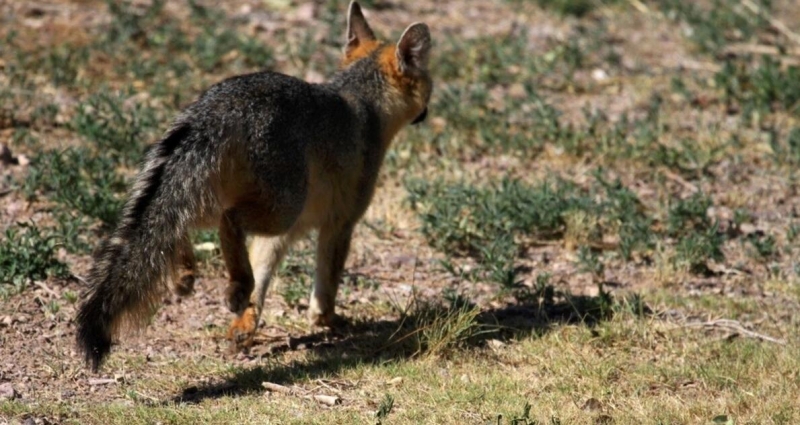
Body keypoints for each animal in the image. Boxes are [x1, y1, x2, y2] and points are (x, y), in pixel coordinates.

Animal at [76, 1, 432, 370]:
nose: (428, 112)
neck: (362, 101)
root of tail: (219, 107)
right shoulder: (340, 223)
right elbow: (326, 284)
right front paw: (328, 320)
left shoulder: (282, 236)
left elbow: (262, 275)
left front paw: (244, 326)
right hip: (282, 208)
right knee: (227, 221)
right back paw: (234, 284)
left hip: (217, 195)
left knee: (178, 226)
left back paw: (188, 275)